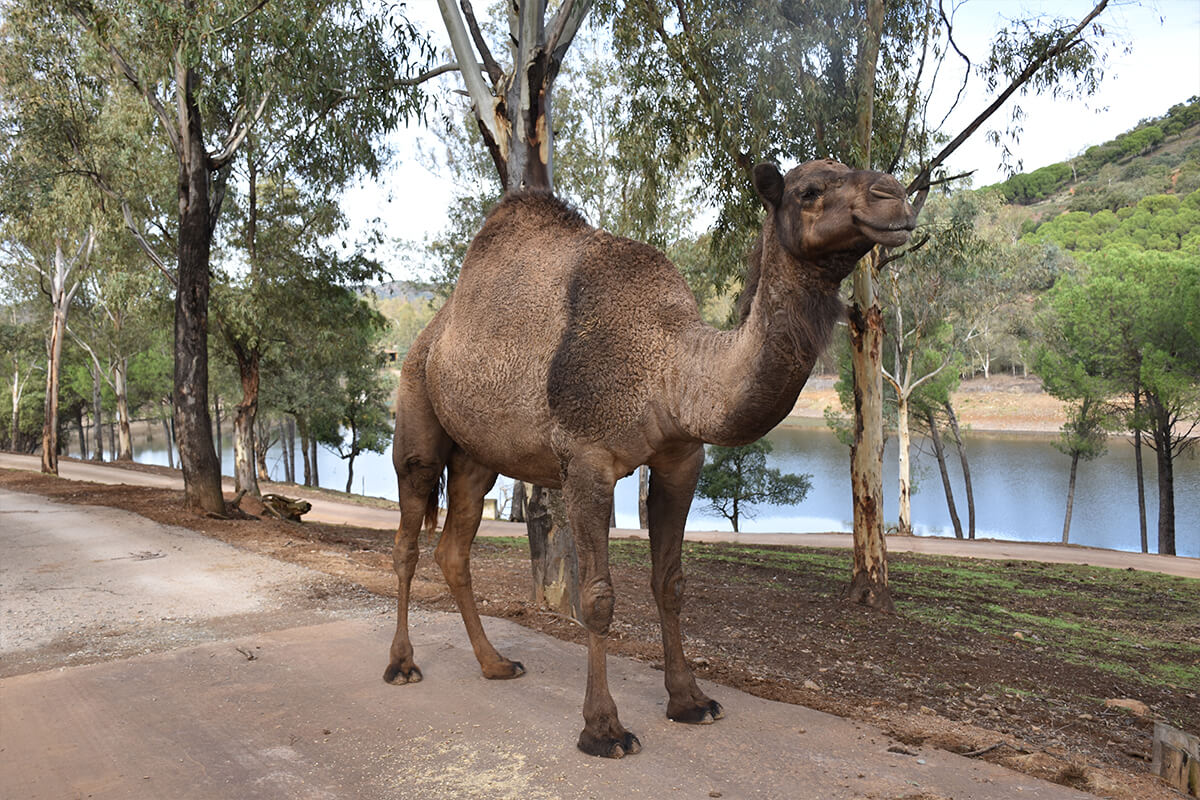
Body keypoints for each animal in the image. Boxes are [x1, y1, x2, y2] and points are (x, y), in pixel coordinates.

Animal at [386, 155, 916, 758]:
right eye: (808, 191)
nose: (894, 197)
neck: (671, 369)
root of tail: (430, 334)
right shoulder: (585, 459)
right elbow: (596, 596)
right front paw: (603, 729)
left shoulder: (680, 460)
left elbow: (671, 583)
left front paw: (691, 701)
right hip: (416, 413)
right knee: (407, 537)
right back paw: (402, 665)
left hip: (478, 457)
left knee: (454, 548)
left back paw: (495, 663)